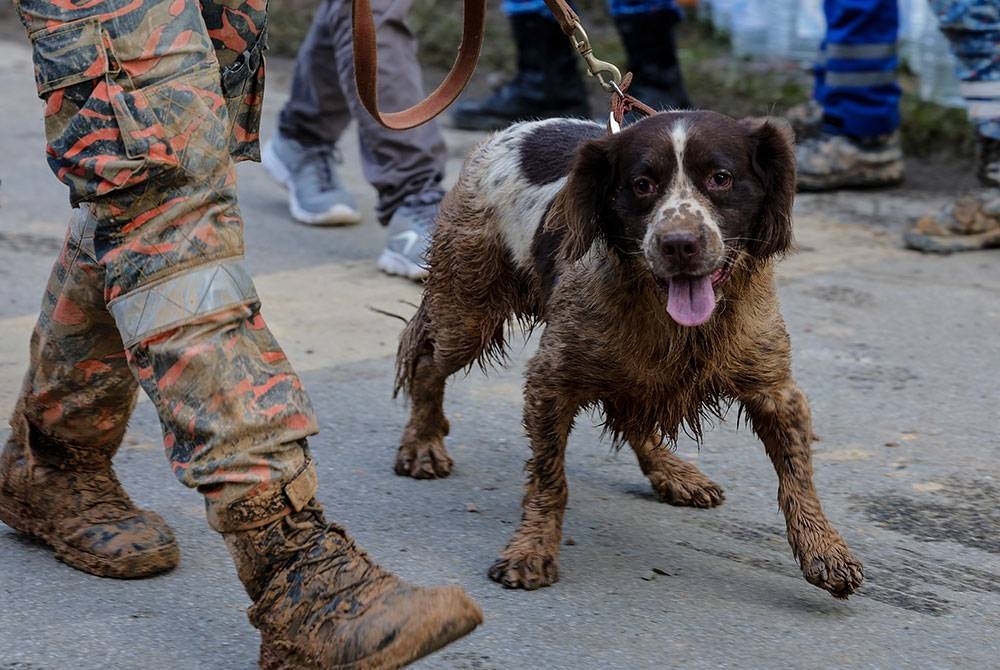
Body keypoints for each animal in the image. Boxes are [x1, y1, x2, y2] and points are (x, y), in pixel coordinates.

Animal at [394, 110, 864, 600]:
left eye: (721, 178)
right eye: (642, 184)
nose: (679, 244)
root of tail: (519, 128)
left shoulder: (775, 389)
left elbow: (797, 478)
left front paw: (824, 550)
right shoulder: (550, 382)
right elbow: (549, 478)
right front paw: (531, 550)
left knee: (634, 416)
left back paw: (673, 472)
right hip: (467, 308)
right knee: (427, 363)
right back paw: (422, 444)